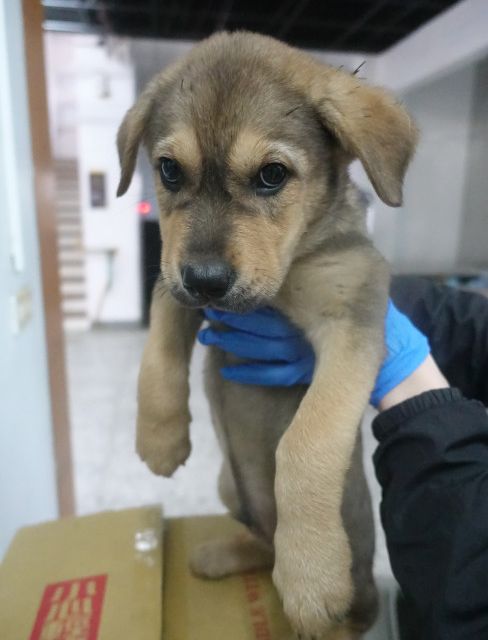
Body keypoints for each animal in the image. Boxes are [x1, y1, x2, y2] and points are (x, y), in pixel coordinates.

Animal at [116, 32, 417, 639]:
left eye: (272, 175)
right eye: (168, 170)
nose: (206, 280)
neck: (287, 273)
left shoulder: (352, 323)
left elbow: (306, 442)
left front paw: (312, 576)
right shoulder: (171, 283)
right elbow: (157, 358)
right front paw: (161, 440)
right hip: (229, 487)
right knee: (261, 539)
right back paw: (220, 555)